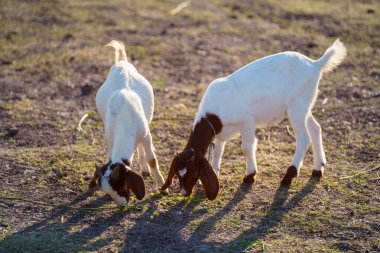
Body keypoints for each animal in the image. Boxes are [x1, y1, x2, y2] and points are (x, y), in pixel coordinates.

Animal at [90, 40, 166, 206]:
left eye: (122, 185)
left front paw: (162, 187)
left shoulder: (146, 135)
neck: (124, 117)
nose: (122, 205)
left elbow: (152, 159)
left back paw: (145, 169)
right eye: (108, 192)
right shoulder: (110, 135)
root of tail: (122, 62)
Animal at [161, 39, 348, 200]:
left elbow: (247, 147)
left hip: (297, 107)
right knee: (316, 129)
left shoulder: (247, 122)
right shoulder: (221, 134)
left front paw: (250, 176)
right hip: (305, 106)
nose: (184, 193)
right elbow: (218, 151)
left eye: (193, 173)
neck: (213, 116)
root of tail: (315, 64)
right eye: (178, 173)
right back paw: (317, 169)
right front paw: (216, 171)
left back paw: (289, 176)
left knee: (303, 138)